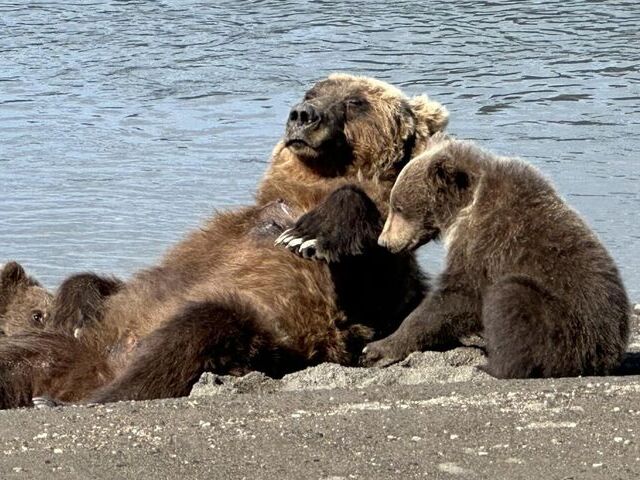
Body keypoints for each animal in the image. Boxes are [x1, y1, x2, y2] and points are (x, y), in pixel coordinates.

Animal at [1, 73, 450, 406]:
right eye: (313, 91)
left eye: (357, 101)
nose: (303, 113)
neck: (301, 193)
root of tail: (86, 373)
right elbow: (105, 282)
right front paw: (75, 308)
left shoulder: (360, 296)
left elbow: (371, 286)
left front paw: (310, 233)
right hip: (63, 350)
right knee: (19, 356)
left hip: (255, 339)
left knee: (197, 327)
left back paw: (81, 398)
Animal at [362, 134, 632, 378]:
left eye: (398, 206)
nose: (384, 242)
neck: (464, 207)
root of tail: (608, 353)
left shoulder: (487, 243)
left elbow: (455, 298)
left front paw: (378, 348)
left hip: (567, 325)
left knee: (511, 297)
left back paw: (492, 366)